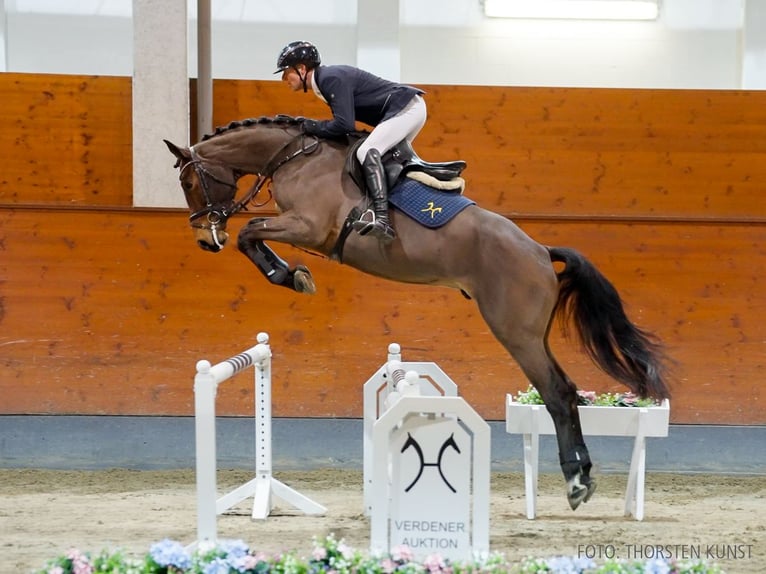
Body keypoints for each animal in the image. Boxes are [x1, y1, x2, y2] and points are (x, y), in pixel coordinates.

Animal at [164, 115, 672, 510]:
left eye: (189, 182)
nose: (205, 240)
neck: (294, 156)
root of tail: (541, 252)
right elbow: (252, 231)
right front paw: (292, 274)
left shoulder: (307, 227)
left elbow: (250, 231)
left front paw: (288, 275)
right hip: (533, 333)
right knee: (564, 391)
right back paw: (581, 477)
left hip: (516, 333)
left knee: (558, 393)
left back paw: (576, 482)